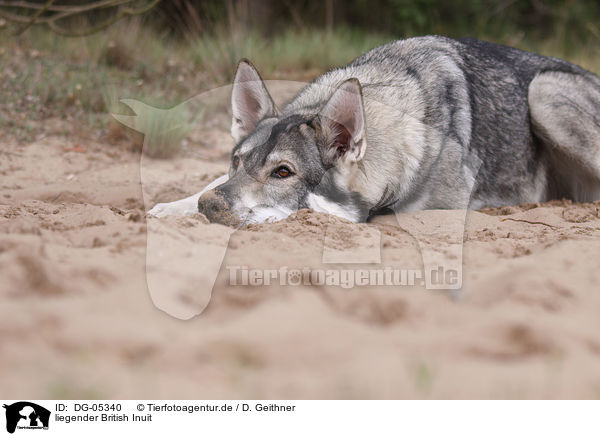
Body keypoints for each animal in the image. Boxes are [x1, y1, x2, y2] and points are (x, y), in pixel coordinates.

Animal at [149, 35, 600, 225]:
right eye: (236, 162)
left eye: (283, 173)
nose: (210, 208)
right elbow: (207, 182)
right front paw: (174, 205)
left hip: (544, 92)